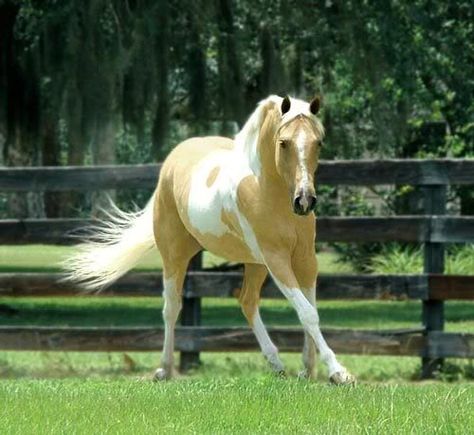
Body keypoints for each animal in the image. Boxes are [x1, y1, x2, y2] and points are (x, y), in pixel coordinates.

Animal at [65, 94, 356, 384]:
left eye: (318, 142)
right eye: (283, 142)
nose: (304, 201)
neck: (266, 190)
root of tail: (173, 159)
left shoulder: (305, 257)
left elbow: (310, 309)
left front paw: (309, 369)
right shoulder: (276, 259)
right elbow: (307, 312)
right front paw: (339, 372)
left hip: (254, 262)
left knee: (247, 301)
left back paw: (276, 364)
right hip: (176, 255)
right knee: (172, 306)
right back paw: (164, 369)